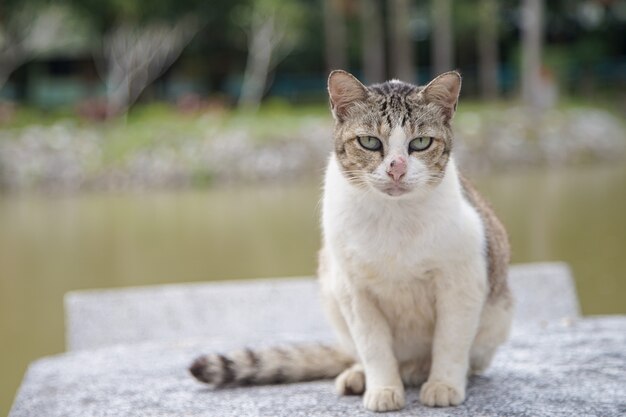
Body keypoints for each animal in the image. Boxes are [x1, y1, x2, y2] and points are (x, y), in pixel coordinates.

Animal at [190, 70, 512, 412]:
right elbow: (374, 348)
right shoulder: (353, 290)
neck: (393, 219)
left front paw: (443, 385)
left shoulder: (461, 282)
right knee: (359, 353)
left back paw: (417, 369)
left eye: (421, 143)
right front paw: (383, 389)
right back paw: (360, 375)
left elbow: (450, 342)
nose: (396, 168)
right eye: (369, 142)